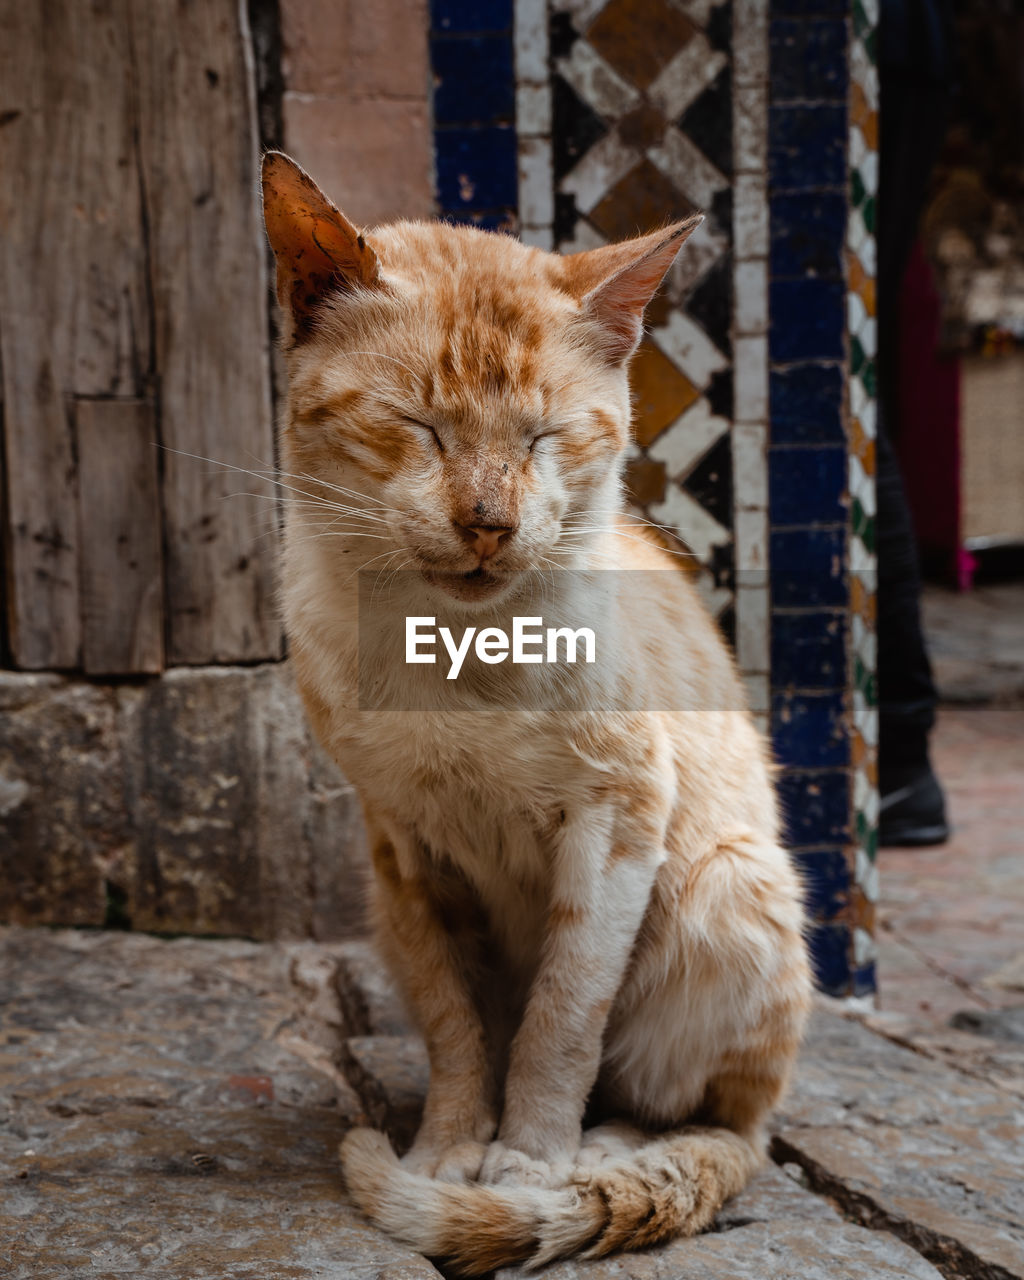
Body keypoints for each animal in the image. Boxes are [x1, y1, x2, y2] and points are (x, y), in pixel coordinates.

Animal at [259, 149, 814, 1269]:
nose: (488, 522)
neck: (451, 654)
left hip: (730, 882)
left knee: (711, 1123)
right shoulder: (407, 851)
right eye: (419, 427)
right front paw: (448, 1153)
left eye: (544, 438)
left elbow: (561, 1019)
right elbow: (459, 1024)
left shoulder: (615, 827)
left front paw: (526, 1162)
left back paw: (603, 1153)